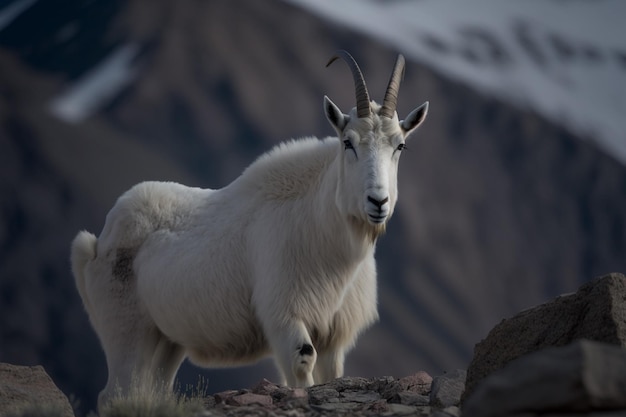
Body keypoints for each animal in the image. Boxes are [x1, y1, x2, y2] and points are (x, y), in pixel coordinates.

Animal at [70, 49, 426, 406]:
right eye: (348, 142)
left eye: (400, 145)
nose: (377, 201)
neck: (320, 223)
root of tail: (97, 243)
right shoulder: (285, 318)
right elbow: (301, 363)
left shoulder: (334, 334)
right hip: (126, 329)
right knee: (116, 390)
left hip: (167, 339)